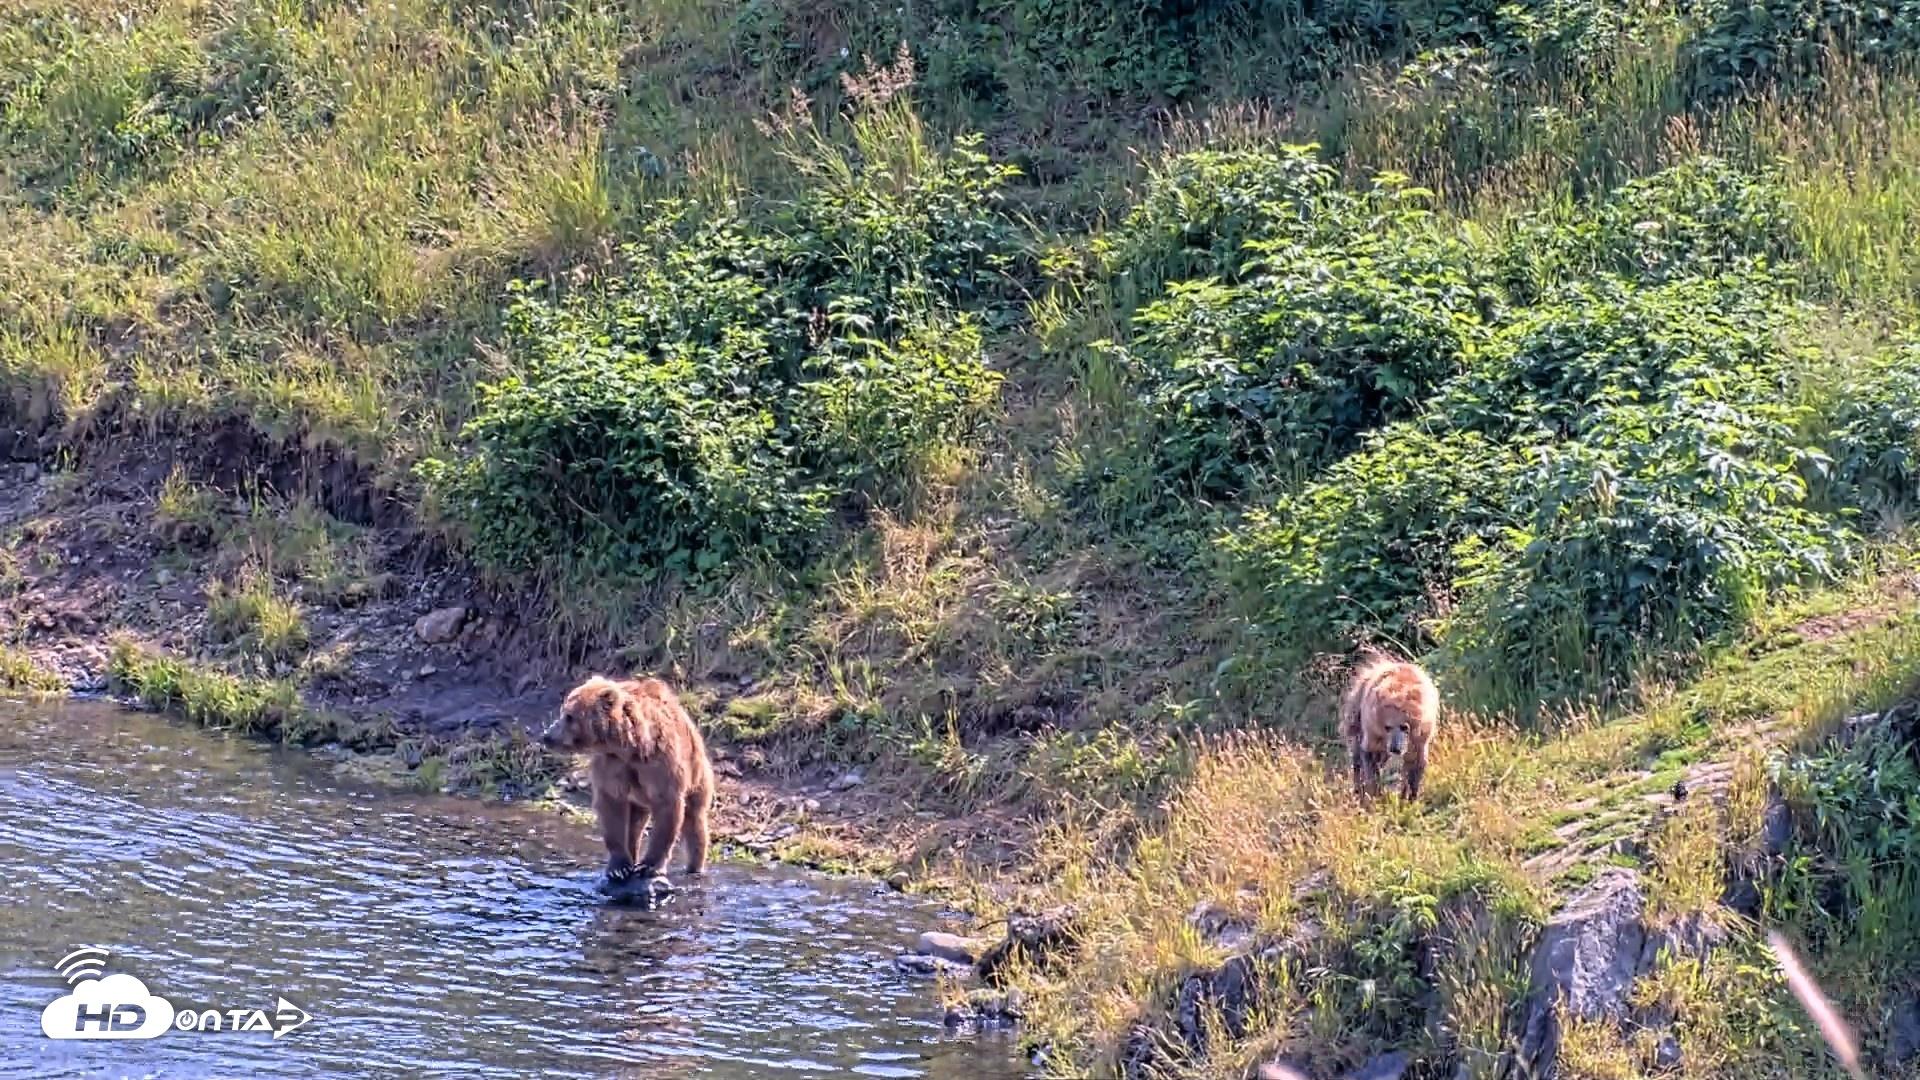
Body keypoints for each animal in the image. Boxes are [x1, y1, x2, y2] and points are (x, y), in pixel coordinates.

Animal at [540, 674, 716, 884]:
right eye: (564, 711)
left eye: (569, 716)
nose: (546, 735)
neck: (628, 748)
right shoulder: (611, 766)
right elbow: (611, 808)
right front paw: (619, 867)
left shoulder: (660, 765)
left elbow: (668, 810)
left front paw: (650, 866)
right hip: (638, 798)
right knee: (634, 827)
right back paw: (633, 856)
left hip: (697, 774)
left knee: (694, 820)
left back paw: (694, 867)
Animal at [1340, 654, 1439, 801]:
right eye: (1388, 727)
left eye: (1404, 727)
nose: (1395, 748)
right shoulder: (1373, 728)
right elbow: (1369, 756)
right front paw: (1374, 793)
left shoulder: (1421, 735)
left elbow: (1416, 763)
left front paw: (1410, 797)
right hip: (1356, 714)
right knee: (1357, 754)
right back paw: (1358, 789)